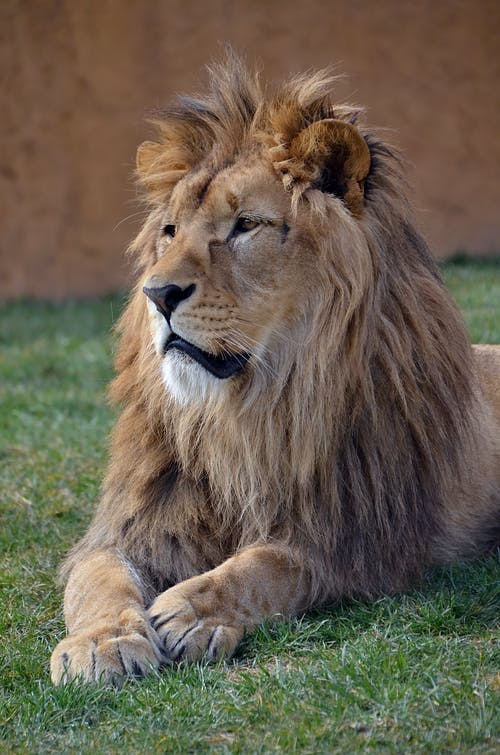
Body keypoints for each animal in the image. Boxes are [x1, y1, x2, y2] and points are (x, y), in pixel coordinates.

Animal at [48, 54, 498, 684]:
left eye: (245, 226)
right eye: (169, 231)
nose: (157, 294)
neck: (250, 408)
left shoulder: (357, 536)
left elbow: (269, 565)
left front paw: (193, 611)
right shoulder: (132, 525)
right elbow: (98, 580)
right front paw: (101, 643)